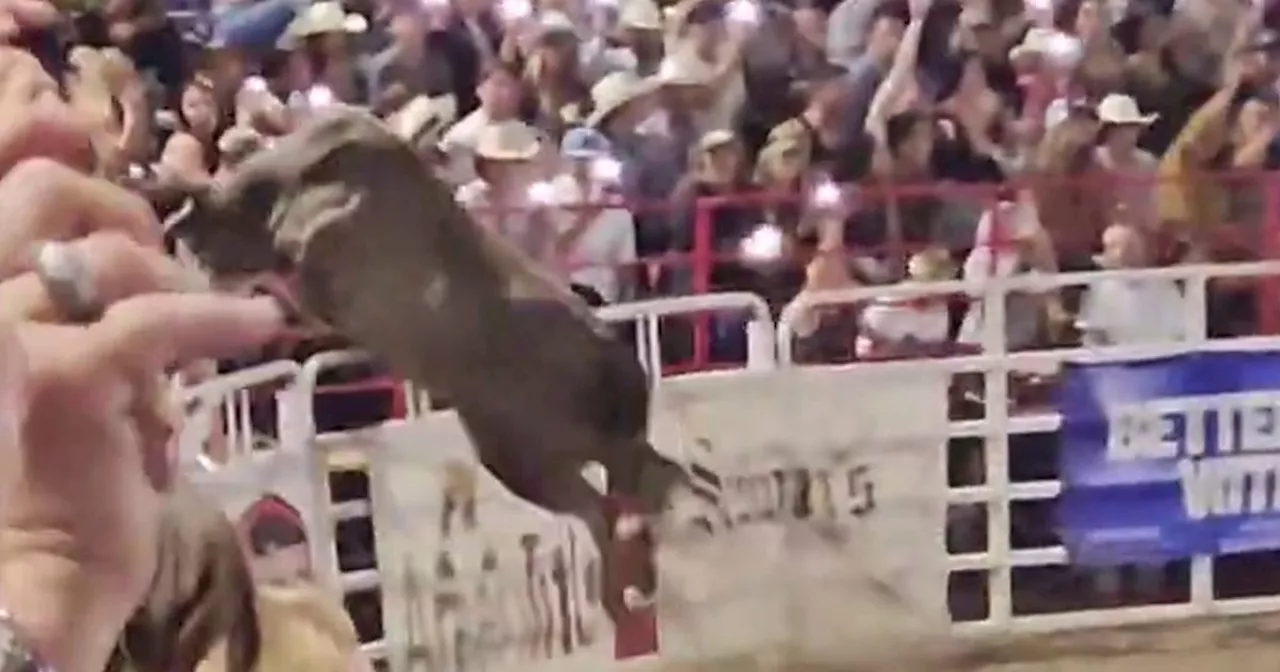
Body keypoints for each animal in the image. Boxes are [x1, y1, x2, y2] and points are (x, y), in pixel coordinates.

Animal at [165, 108, 696, 591]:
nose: (178, 226)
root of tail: (620, 373)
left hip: (543, 456)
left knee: (614, 500)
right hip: (521, 455)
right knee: (623, 495)